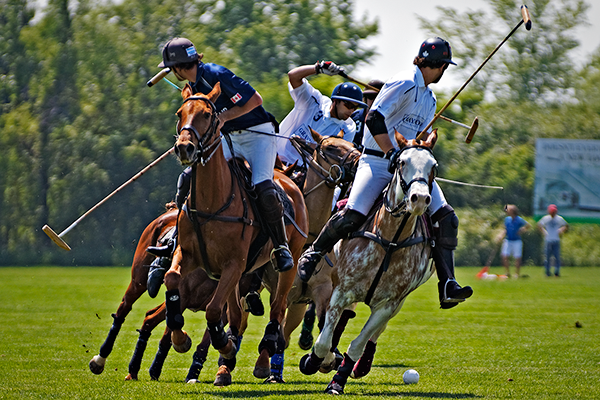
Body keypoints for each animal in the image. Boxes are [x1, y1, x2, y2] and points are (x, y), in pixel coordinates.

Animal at [165, 82, 310, 378]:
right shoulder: (189, 254)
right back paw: (225, 366)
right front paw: (181, 338)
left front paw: (224, 345)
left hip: (287, 263)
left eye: (207, 114)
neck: (212, 202)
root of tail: (286, 178)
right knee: (235, 313)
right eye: (179, 113)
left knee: (278, 308)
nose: (184, 148)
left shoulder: (234, 263)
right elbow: (172, 279)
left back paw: (264, 357)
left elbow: (212, 311)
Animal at [298, 130, 436, 394]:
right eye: (402, 162)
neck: (391, 239)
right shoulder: (342, 291)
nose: (420, 199)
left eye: (434, 166)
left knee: (372, 333)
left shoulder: (389, 304)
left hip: (399, 301)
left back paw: (360, 366)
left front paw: (338, 381)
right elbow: (323, 341)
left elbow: (358, 343)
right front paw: (312, 361)